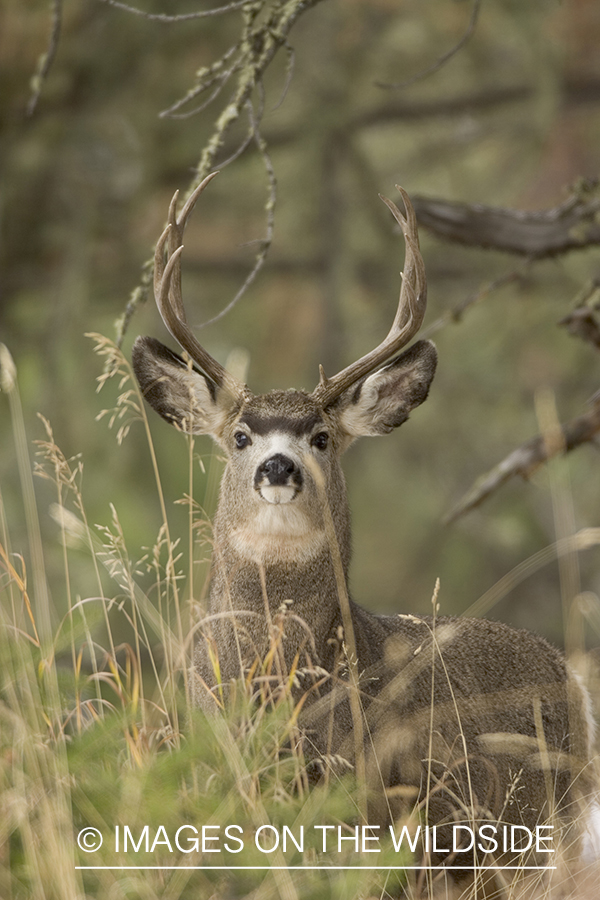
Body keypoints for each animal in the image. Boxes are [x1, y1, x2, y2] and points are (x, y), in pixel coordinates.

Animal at [132, 172, 597, 876]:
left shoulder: (385, 803)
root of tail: (572, 680)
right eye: (240, 435)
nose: (277, 466)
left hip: (543, 828)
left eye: (321, 437)